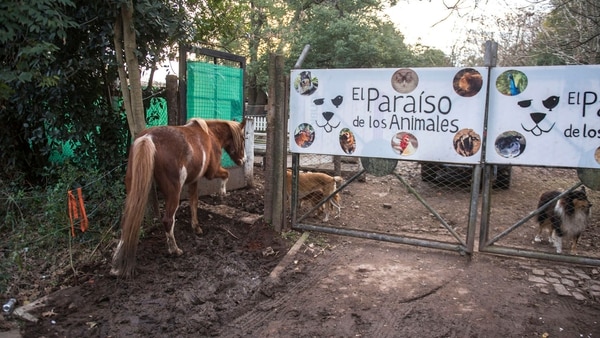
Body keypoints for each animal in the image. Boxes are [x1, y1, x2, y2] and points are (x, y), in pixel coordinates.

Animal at [111, 118, 245, 278]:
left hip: (133, 188)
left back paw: (116, 265)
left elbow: (194, 202)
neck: (211, 134)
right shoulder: (212, 172)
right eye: (244, 138)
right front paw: (222, 193)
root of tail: (148, 138)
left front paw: (196, 227)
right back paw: (175, 250)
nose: (243, 160)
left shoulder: (194, 180)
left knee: (126, 222)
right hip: (174, 192)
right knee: (168, 220)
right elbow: (226, 174)